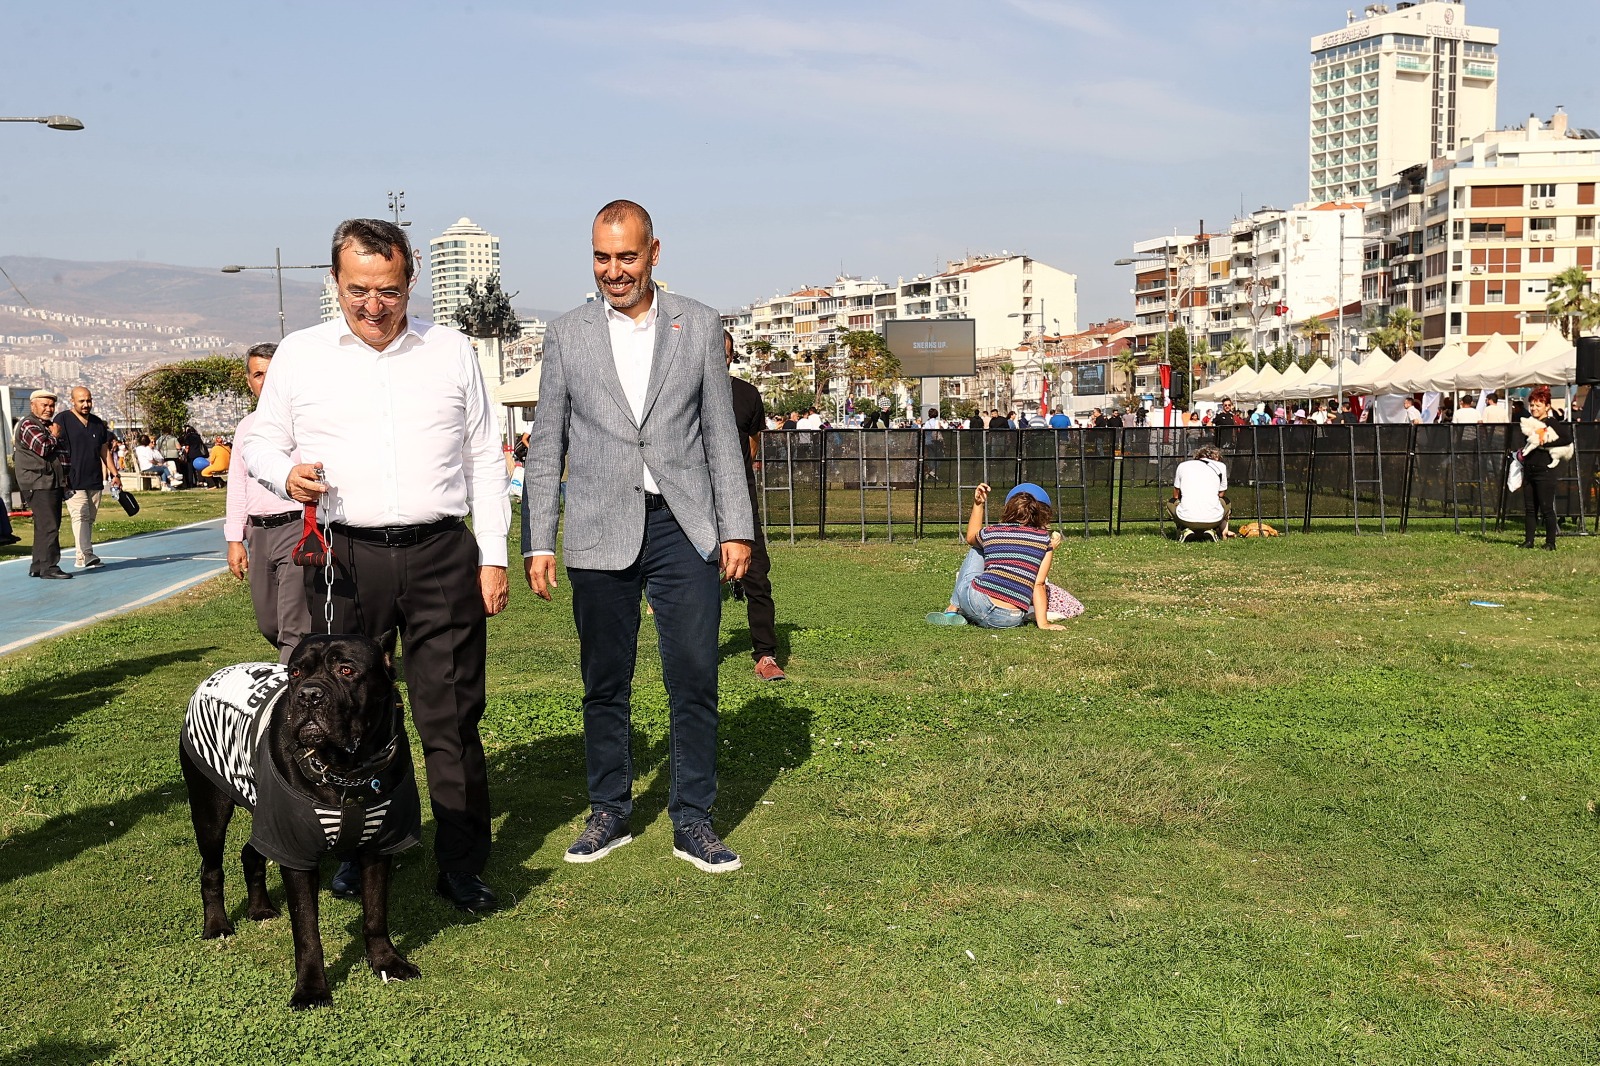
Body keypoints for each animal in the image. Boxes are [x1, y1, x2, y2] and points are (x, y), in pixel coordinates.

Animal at [178, 630, 422, 1005]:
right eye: (295, 673)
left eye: (347, 670)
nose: (309, 694)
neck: (345, 771)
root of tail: (210, 678)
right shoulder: (296, 853)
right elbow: (307, 930)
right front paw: (310, 988)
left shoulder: (378, 846)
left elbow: (376, 913)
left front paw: (386, 961)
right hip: (210, 807)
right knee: (211, 869)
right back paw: (217, 925)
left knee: (250, 852)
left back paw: (260, 908)